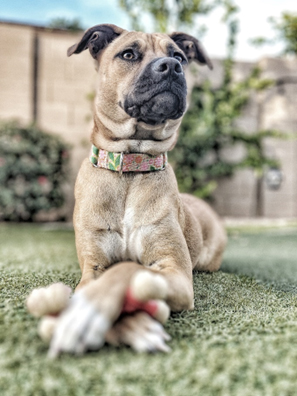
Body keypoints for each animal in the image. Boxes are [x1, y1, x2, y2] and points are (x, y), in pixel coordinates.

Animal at [48, 23, 225, 354]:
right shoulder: (92, 266)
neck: (131, 167)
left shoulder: (174, 270)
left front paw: (90, 312)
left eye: (179, 56)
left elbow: (129, 269)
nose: (171, 67)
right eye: (128, 54)